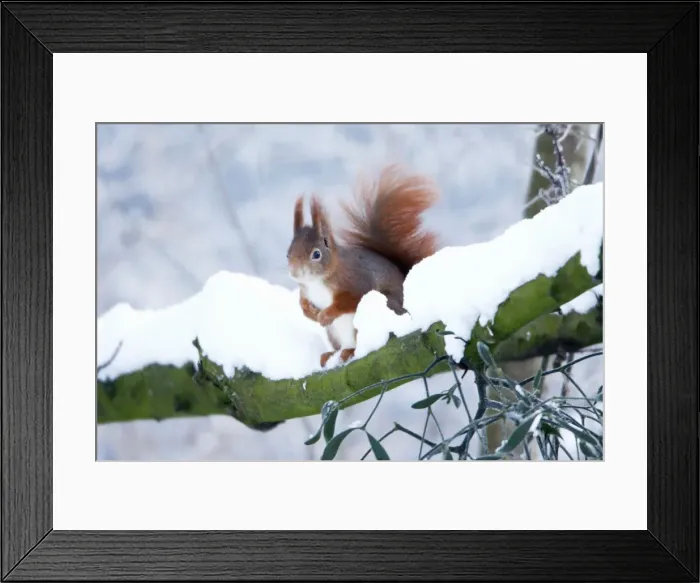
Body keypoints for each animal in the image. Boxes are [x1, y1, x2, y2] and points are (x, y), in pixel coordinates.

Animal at [287, 164, 440, 368]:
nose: (296, 272)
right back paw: (331, 354)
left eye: (316, 254)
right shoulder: (306, 291)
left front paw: (326, 314)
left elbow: (350, 300)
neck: (317, 281)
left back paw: (350, 351)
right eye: (288, 253)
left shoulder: (356, 280)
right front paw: (309, 313)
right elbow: (303, 303)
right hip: (333, 333)